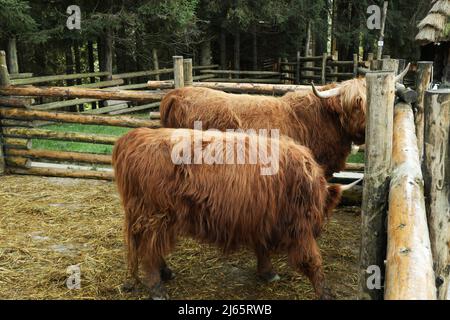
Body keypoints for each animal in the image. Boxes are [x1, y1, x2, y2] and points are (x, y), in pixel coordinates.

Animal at [113, 127, 362, 300]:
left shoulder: (261, 217)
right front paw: (325, 291)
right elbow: (313, 260)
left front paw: (267, 273)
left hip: (151, 215)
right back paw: (157, 288)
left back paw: (164, 272)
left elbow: (262, 247)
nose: (319, 229)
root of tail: (134, 136)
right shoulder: (300, 226)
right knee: (148, 250)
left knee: (147, 247)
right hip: (155, 215)